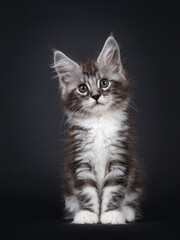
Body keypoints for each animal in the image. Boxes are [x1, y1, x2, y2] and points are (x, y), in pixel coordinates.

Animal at [53, 36, 143, 224]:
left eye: (104, 83)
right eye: (83, 88)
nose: (95, 96)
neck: (99, 121)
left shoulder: (119, 157)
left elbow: (114, 190)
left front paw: (111, 214)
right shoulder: (80, 159)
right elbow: (86, 191)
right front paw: (88, 214)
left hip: (136, 179)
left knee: (130, 198)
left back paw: (127, 211)